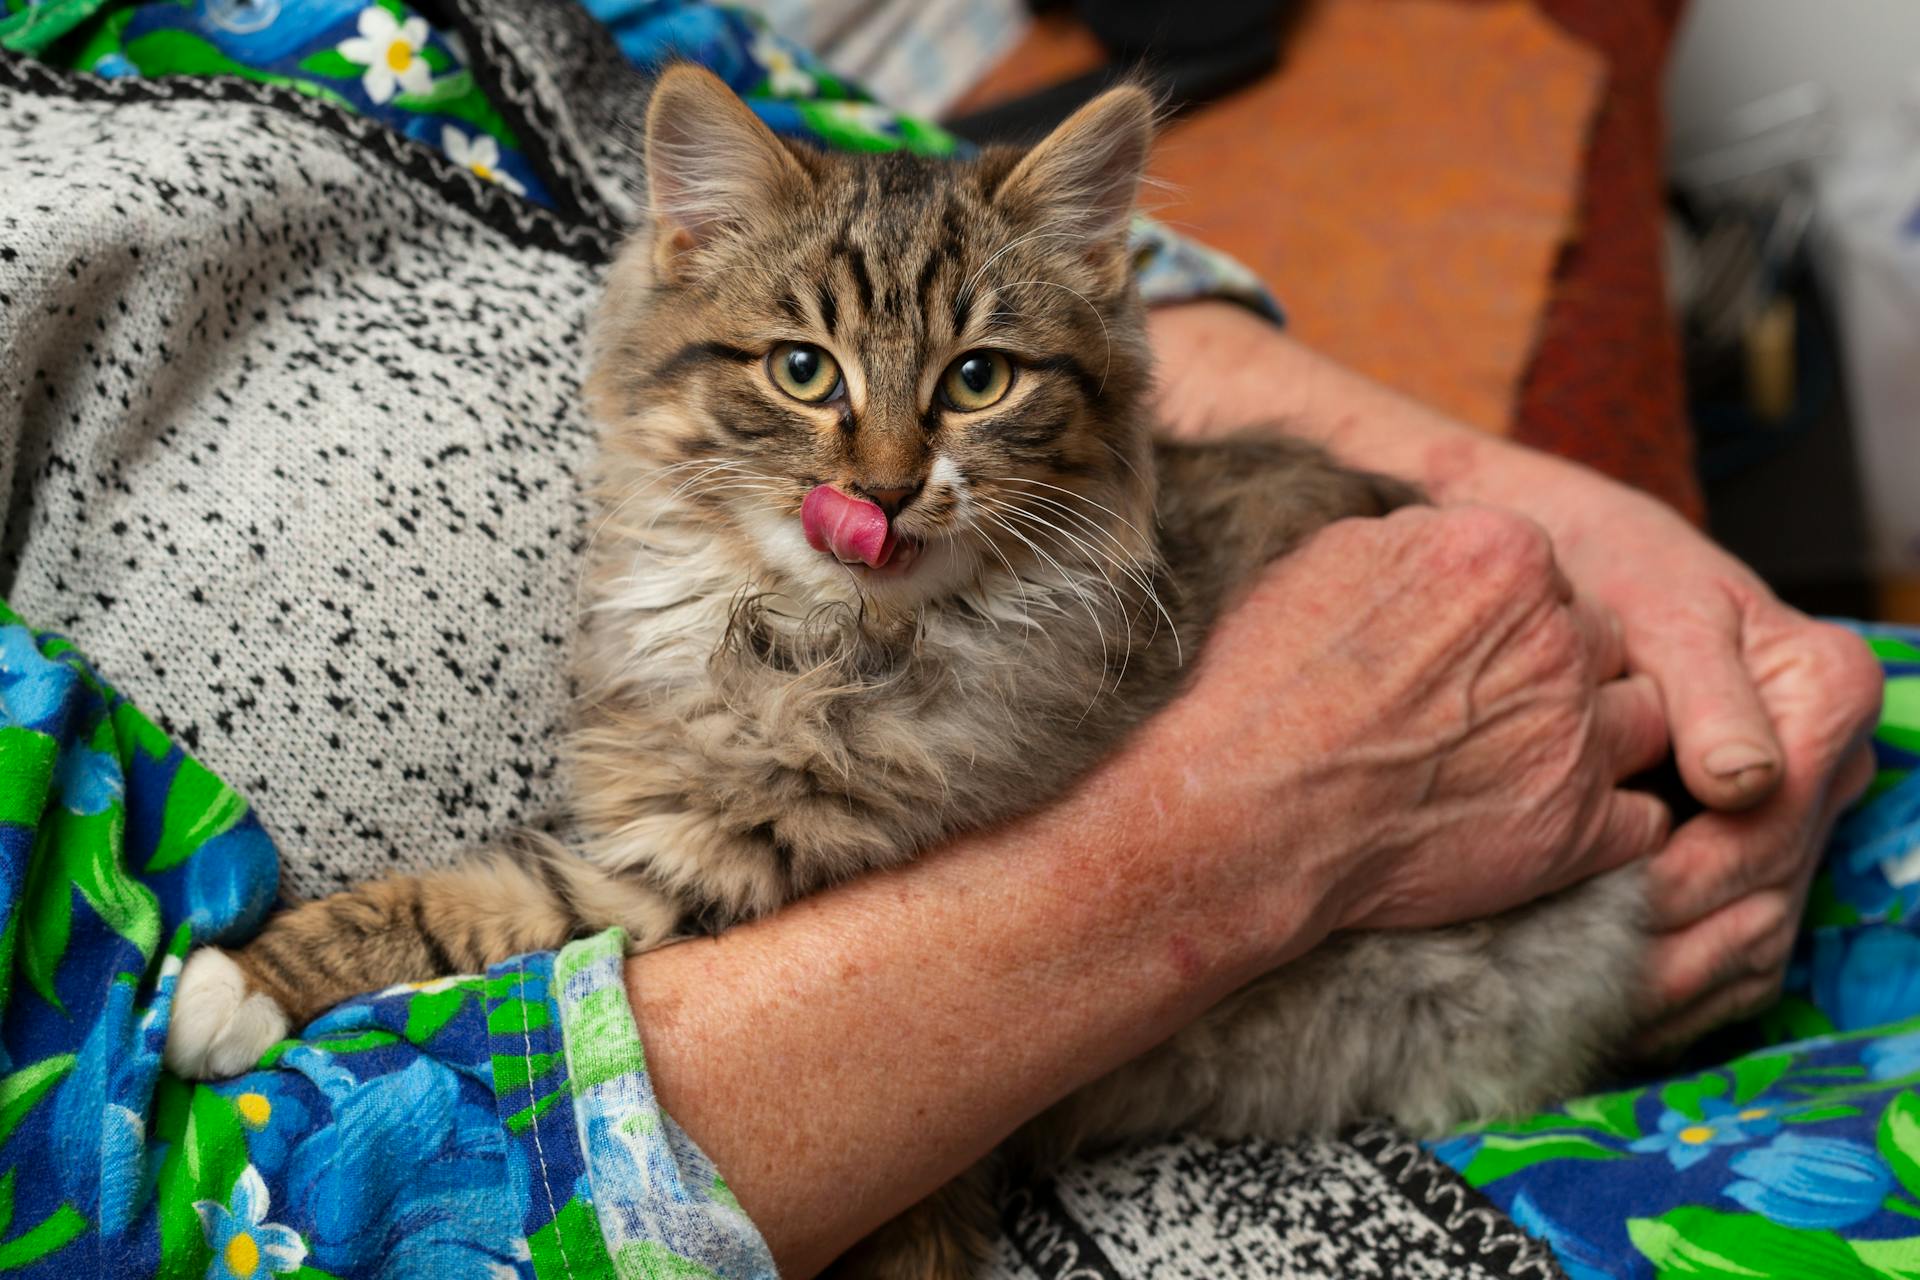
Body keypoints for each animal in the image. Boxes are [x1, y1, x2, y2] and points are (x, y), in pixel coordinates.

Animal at [165, 62, 1643, 1280]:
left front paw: (227, 989)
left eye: (978, 380)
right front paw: (244, 980)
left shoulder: (730, 876)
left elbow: (480, 911)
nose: (879, 490)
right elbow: (456, 904)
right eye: (802, 370)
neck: (798, 635)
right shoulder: (649, 856)